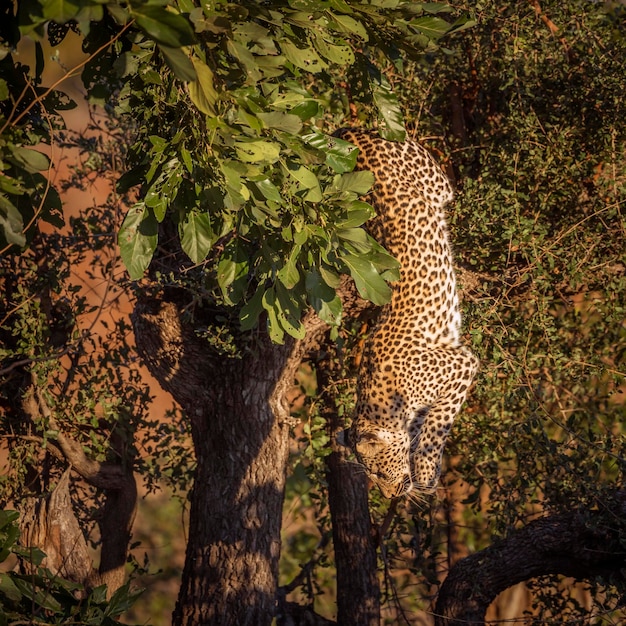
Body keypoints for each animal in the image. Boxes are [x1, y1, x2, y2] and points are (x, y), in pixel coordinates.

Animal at [334, 127, 476, 498]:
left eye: (378, 472)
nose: (388, 495)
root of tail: (350, 131)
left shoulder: (462, 363)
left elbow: (438, 421)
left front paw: (425, 470)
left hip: (435, 184)